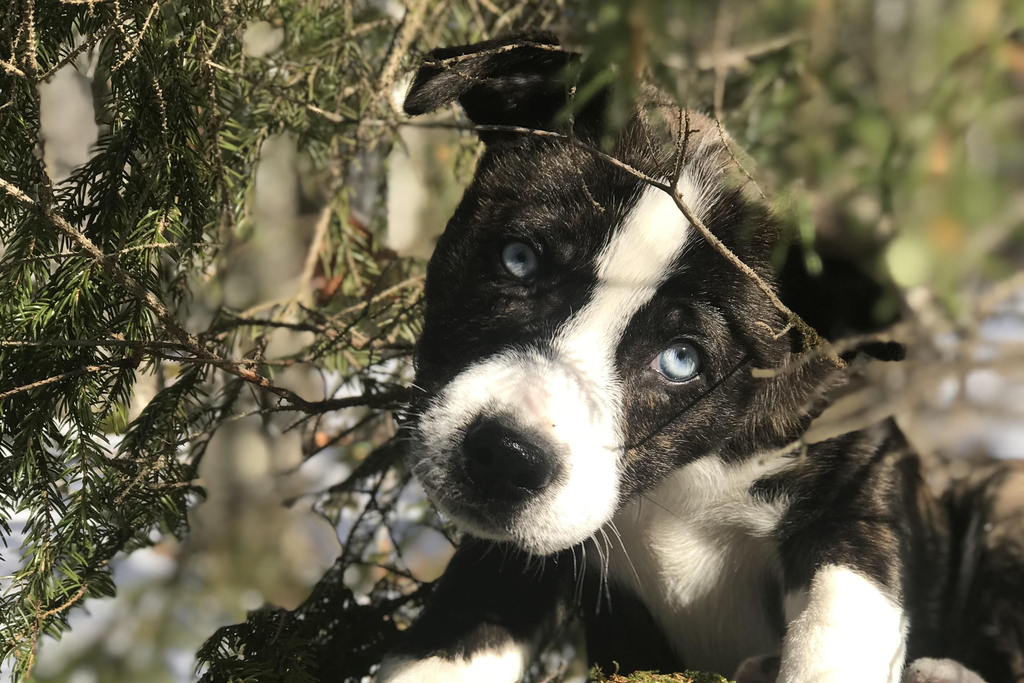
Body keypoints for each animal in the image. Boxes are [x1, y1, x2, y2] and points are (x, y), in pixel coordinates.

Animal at [376, 33, 1024, 683]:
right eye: (518, 259)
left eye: (682, 359)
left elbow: (838, 621)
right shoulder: (514, 554)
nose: (505, 459)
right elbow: (457, 632)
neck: (680, 481)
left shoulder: (858, 480)